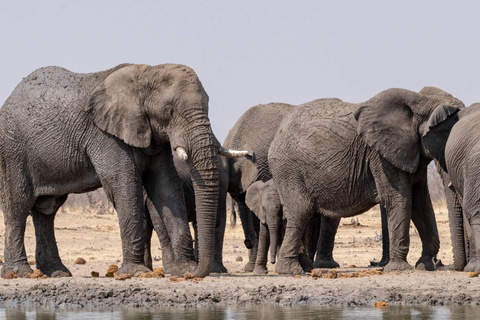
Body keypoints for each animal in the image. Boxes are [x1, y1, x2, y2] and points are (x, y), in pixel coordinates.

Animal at [0, 63, 246, 278]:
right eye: (169, 111)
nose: (196, 272)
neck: (146, 73)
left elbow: (166, 187)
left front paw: (184, 269)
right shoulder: (105, 136)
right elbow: (124, 183)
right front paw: (137, 273)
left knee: (47, 211)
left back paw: (57, 273)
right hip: (13, 151)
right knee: (18, 206)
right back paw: (19, 273)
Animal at [268, 87, 464, 276]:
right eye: (446, 134)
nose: (441, 264)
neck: (423, 102)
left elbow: (420, 203)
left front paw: (424, 266)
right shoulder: (380, 155)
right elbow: (399, 199)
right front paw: (401, 269)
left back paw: (306, 268)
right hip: (288, 170)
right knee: (301, 211)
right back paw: (290, 270)